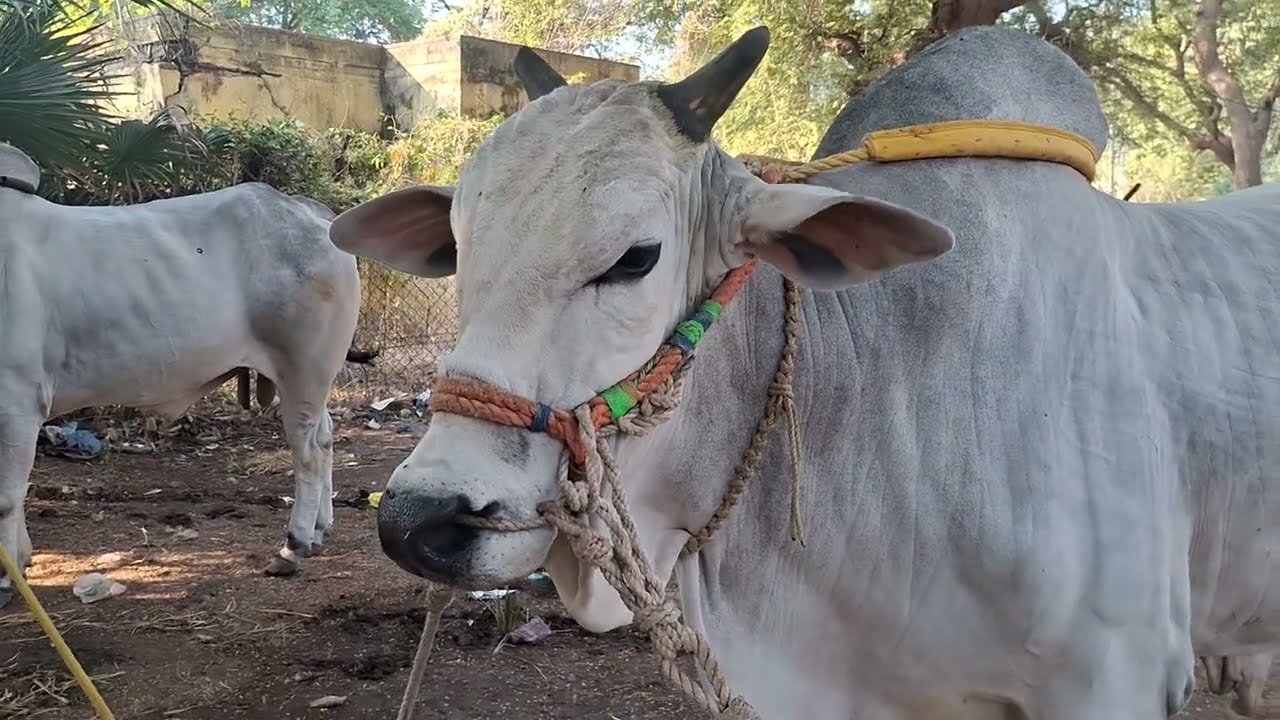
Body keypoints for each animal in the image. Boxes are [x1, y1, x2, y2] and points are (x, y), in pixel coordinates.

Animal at [0, 143, 362, 607]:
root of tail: (305, 209)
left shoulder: (17, 398)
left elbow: (7, 497)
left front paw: (6, 578)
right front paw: (22, 561)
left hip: (303, 368)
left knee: (309, 453)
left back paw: (294, 545)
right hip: (313, 380)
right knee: (326, 436)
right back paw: (319, 530)